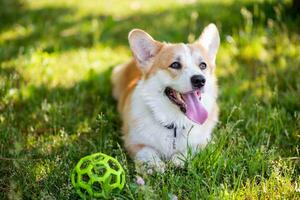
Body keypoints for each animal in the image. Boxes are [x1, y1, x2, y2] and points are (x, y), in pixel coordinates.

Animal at [111, 24, 219, 173]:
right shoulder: (133, 141)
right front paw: (153, 164)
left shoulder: (204, 142)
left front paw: (178, 159)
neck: (174, 124)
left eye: (203, 65)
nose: (200, 80)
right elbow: (147, 150)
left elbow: (191, 148)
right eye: (175, 64)